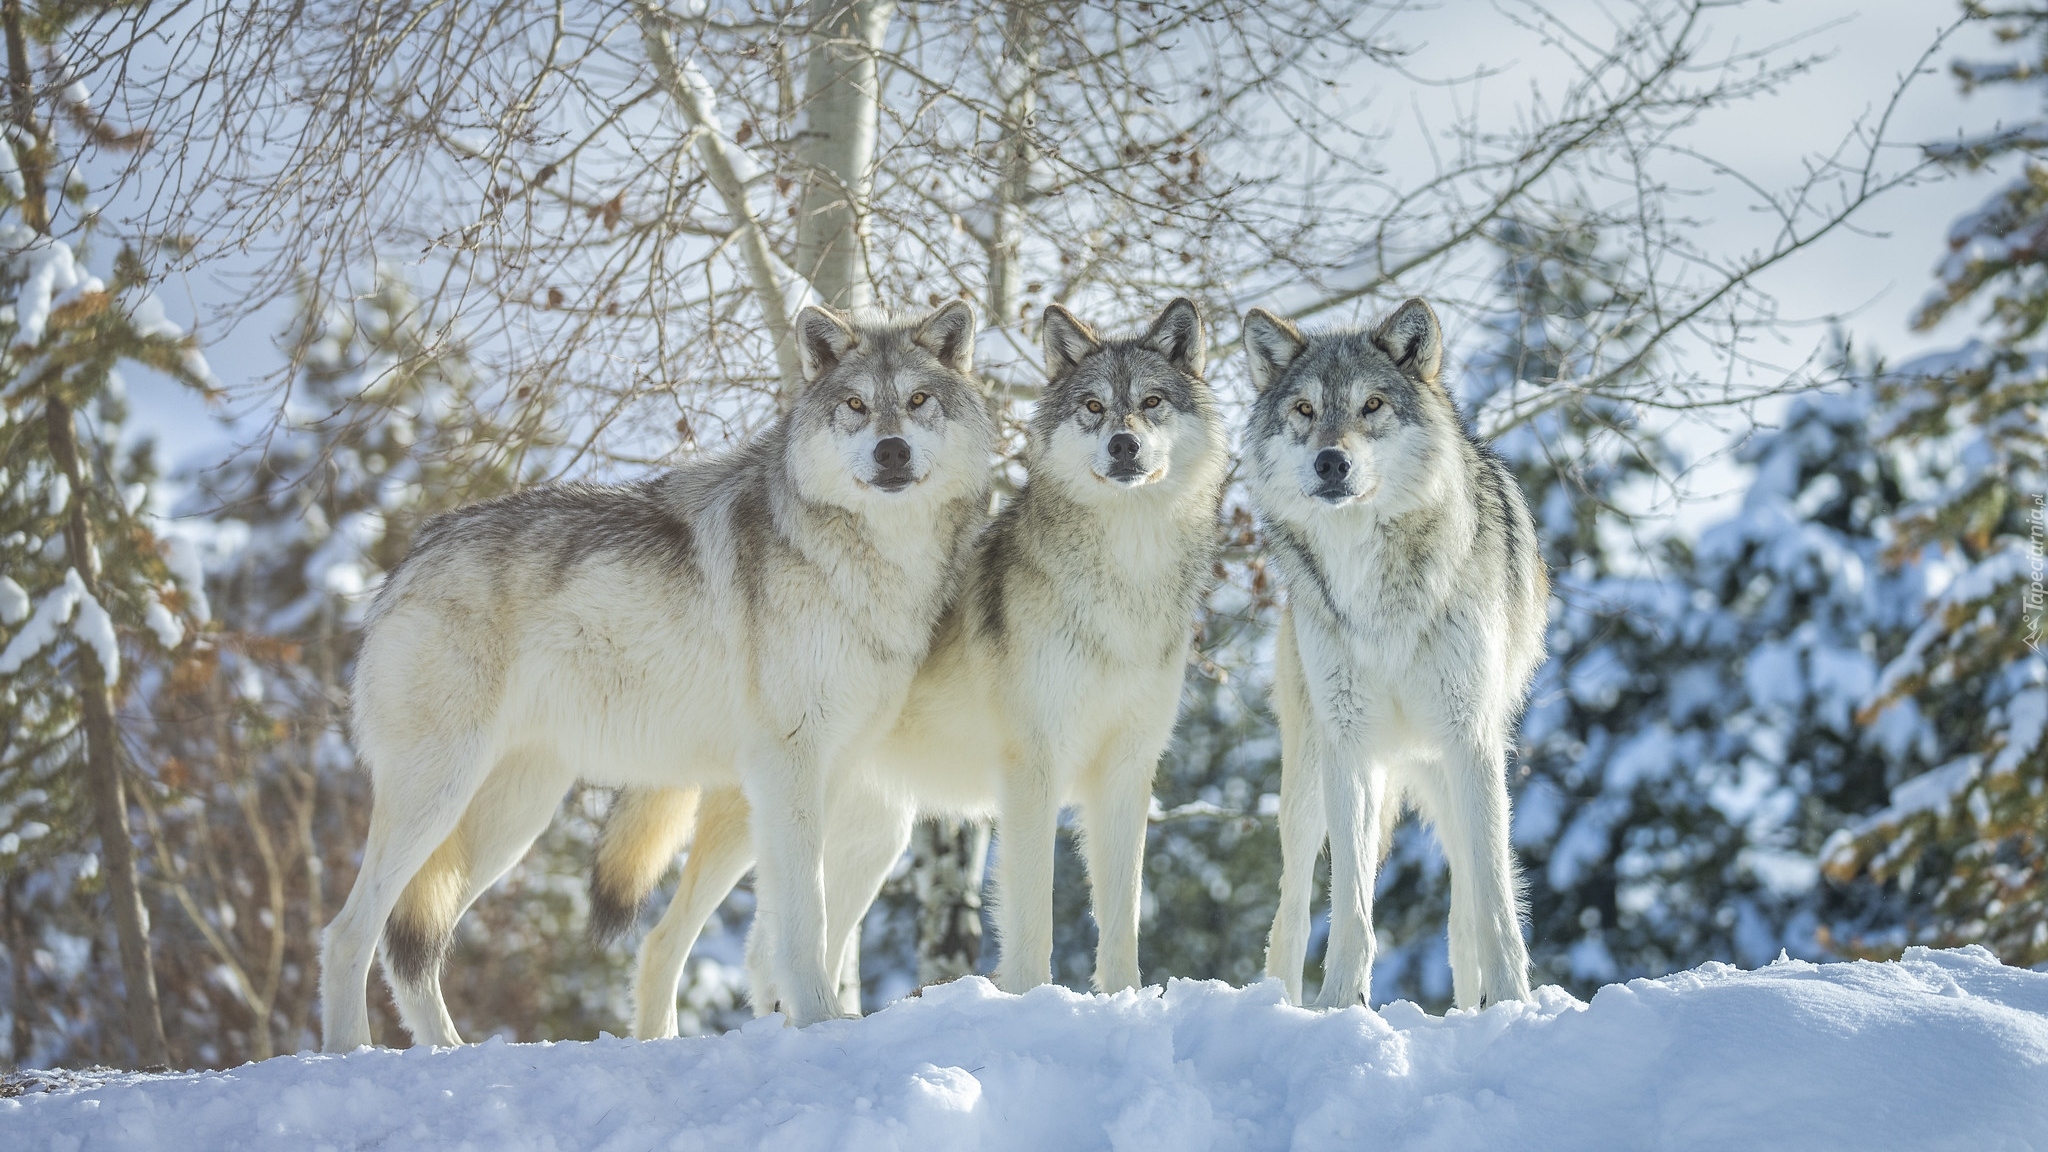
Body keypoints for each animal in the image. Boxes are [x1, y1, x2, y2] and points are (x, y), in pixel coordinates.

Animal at [315, 301, 995, 1045]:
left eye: (918, 400)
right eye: (855, 405)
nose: (891, 450)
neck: (871, 562)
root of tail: (414, 553)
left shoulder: (830, 770)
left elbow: (799, 929)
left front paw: (814, 1022)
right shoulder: (788, 765)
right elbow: (802, 920)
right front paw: (819, 1023)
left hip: (511, 819)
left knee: (412, 947)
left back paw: (450, 1052)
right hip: (439, 795)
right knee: (349, 933)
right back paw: (351, 1054)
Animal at [593, 297, 1228, 1033]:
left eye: (1151, 402)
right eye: (1094, 407)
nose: (1123, 445)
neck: (1126, 581)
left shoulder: (1127, 772)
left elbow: (1122, 919)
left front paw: (1125, 1003)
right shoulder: (1032, 772)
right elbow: (1032, 918)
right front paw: (1035, 1004)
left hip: (866, 840)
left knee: (771, 948)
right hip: (767, 820)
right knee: (666, 942)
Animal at [1236, 293, 1540, 1004]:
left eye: (1372, 404)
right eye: (1305, 410)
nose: (1331, 462)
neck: (1378, 590)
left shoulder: (1470, 738)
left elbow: (1493, 903)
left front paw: (1515, 1006)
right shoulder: (1349, 744)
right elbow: (1349, 909)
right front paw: (1339, 1006)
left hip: (1455, 776)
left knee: (1465, 910)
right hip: (1311, 780)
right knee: (1291, 915)